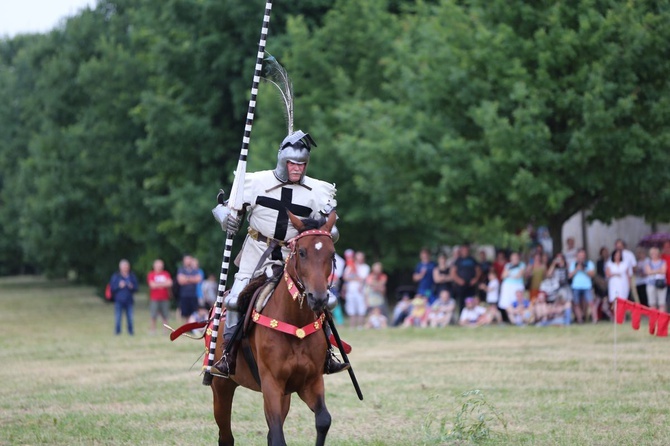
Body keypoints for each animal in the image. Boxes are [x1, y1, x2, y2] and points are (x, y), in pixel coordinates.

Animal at [215, 212, 338, 446]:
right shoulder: (271, 384)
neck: (295, 323)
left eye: (332, 253)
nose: (318, 298)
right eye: (302, 252)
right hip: (221, 386)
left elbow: (324, 420)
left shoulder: (310, 382)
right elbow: (278, 435)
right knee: (225, 435)